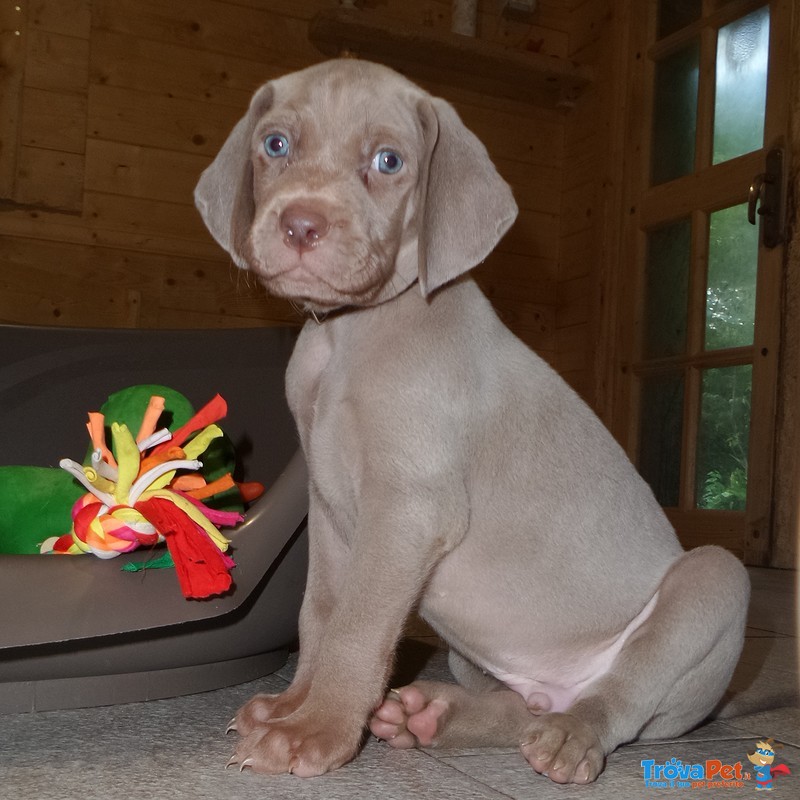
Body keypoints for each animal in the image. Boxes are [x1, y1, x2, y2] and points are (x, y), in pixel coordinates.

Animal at [194, 59, 752, 784]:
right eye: (276, 144)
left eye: (389, 160)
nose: (301, 225)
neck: (350, 335)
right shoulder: (330, 511)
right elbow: (319, 612)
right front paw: (292, 706)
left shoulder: (409, 506)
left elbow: (356, 627)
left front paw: (315, 731)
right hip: (474, 656)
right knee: (523, 709)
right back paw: (433, 715)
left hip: (714, 582)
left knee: (620, 698)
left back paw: (572, 736)